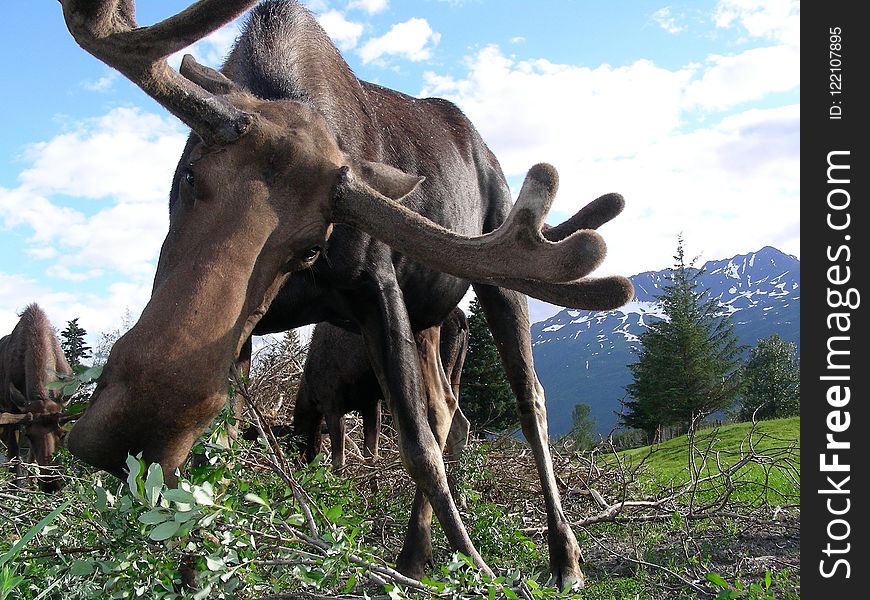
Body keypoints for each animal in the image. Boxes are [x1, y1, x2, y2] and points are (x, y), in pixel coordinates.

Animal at [59, 0, 632, 588]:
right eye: (190, 175)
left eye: (312, 245)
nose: (136, 427)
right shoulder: (248, 335)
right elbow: (216, 451)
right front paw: (193, 570)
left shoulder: (378, 288)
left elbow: (417, 446)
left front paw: (477, 567)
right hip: (430, 318)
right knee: (448, 411)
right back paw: (420, 549)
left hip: (497, 274)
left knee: (527, 399)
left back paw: (559, 557)